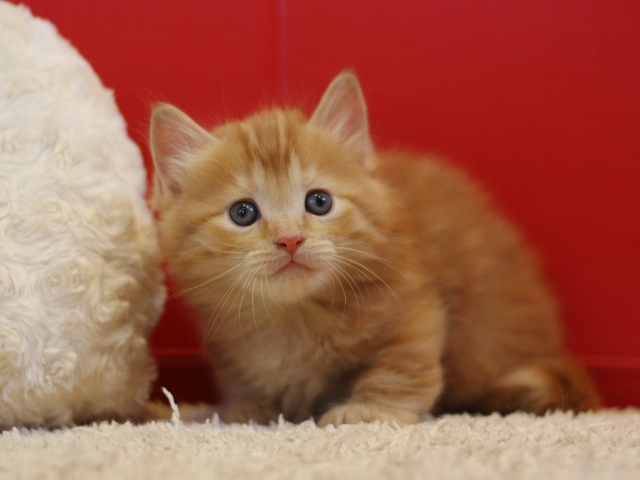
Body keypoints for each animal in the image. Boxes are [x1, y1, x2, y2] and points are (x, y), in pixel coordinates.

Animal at [150, 72, 600, 428]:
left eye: (319, 202)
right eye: (243, 213)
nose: (290, 239)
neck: (295, 317)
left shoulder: (415, 309)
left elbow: (399, 368)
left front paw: (368, 410)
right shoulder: (228, 340)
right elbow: (244, 380)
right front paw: (246, 409)